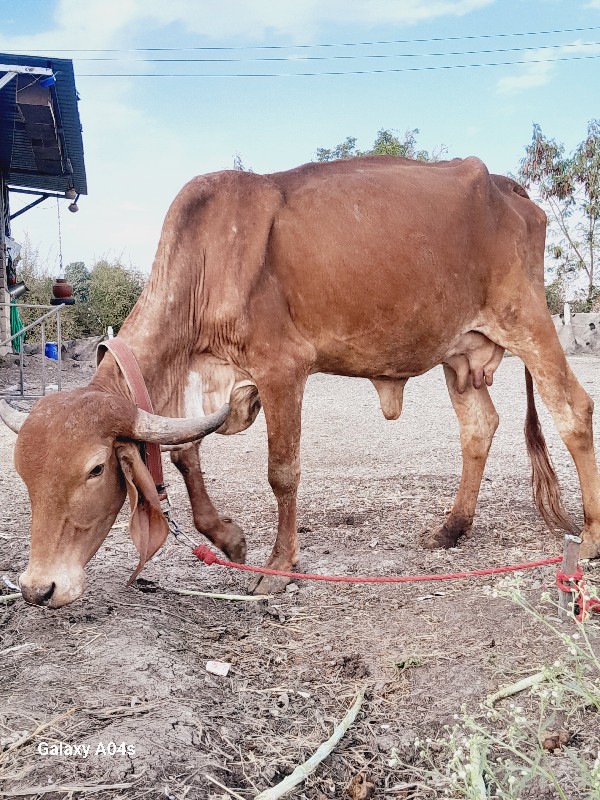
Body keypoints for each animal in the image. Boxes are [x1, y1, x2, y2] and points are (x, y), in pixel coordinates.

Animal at [1, 155, 600, 608]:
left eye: (94, 470)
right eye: (24, 477)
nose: (36, 588)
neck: (205, 264)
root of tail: (505, 186)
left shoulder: (282, 370)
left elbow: (282, 473)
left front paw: (279, 566)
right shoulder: (201, 384)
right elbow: (184, 456)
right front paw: (229, 538)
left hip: (528, 320)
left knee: (573, 410)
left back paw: (590, 536)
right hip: (460, 354)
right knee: (480, 426)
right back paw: (452, 528)